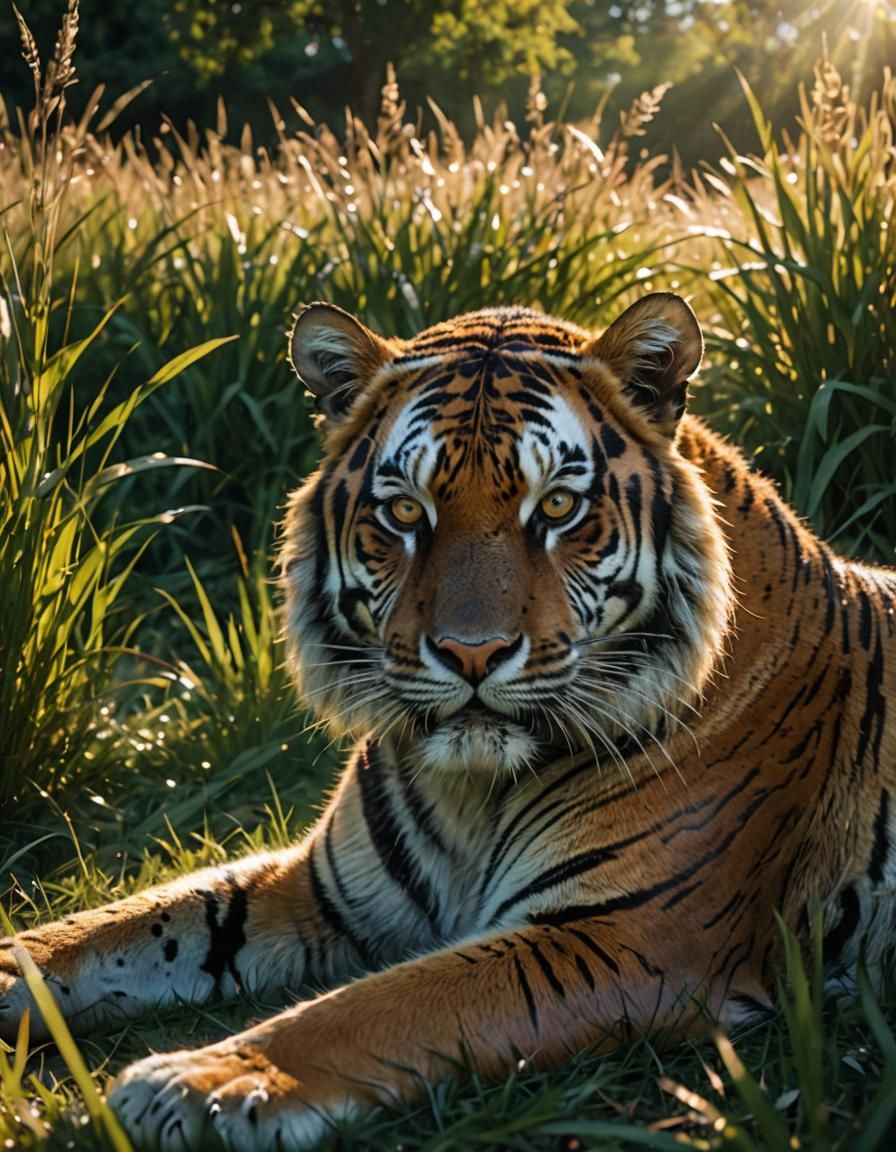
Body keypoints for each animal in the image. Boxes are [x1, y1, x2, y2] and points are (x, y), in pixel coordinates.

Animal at [1, 292, 894, 1152]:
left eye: (558, 507)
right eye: (404, 514)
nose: (473, 653)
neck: (475, 790)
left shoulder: (625, 935)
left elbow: (380, 1006)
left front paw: (200, 1082)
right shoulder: (322, 889)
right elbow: (126, 924)